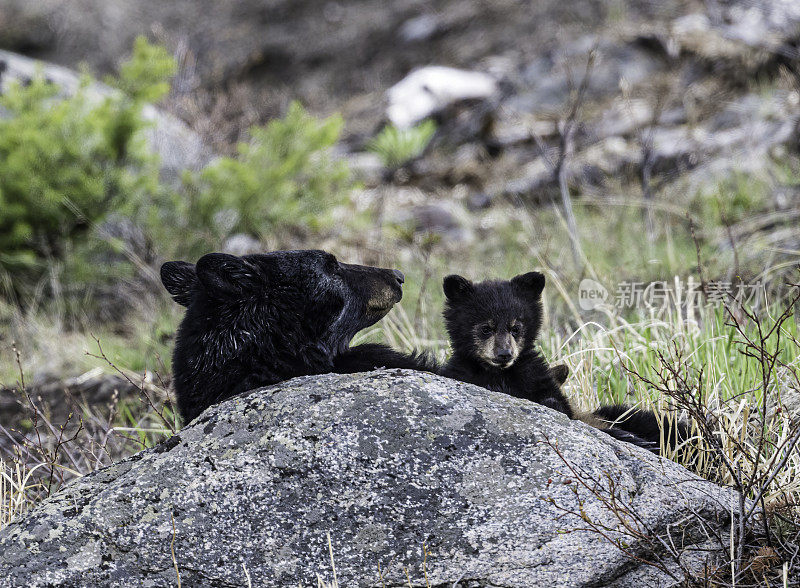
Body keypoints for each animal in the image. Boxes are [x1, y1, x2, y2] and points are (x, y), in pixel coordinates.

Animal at [438, 274, 688, 452]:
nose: (504, 354)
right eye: (485, 328)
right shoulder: (461, 372)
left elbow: (559, 404)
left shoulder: (535, 376)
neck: (500, 373)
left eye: (515, 327)